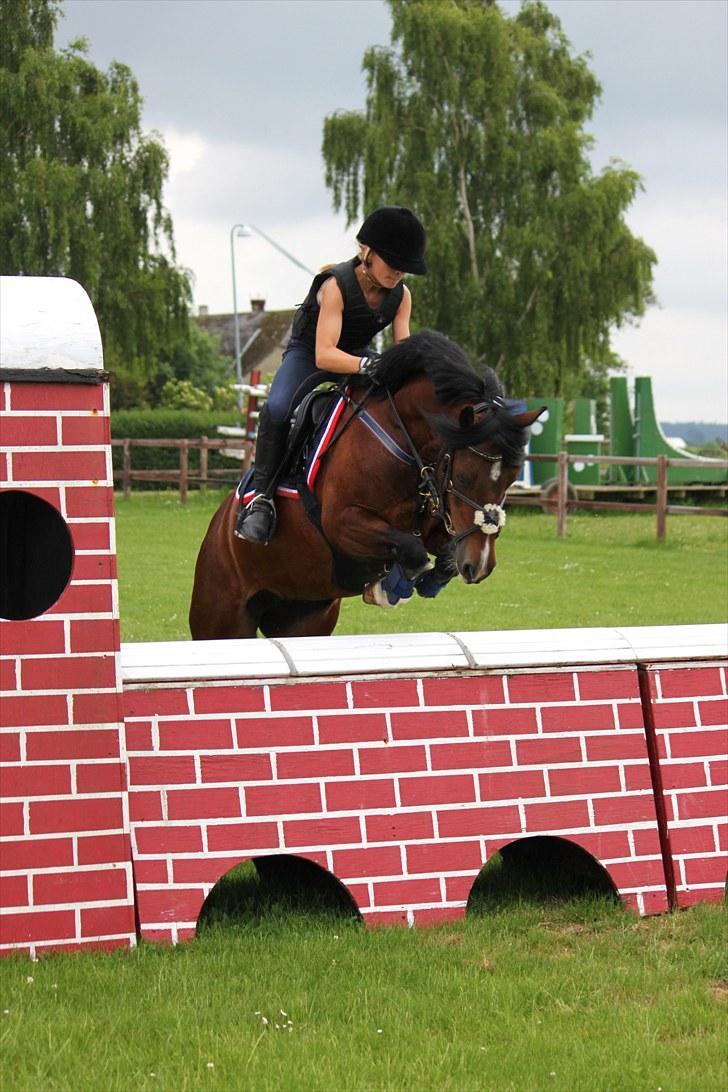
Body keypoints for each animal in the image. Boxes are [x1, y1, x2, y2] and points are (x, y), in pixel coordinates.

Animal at [191, 327, 543, 642]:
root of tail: (217, 527)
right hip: (222, 618)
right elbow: (411, 550)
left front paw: (428, 577)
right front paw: (390, 587)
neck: (401, 442)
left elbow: (441, 553)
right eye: (467, 476)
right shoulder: (342, 522)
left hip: (302, 618)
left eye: (512, 477)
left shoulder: (438, 521)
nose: (480, 565)